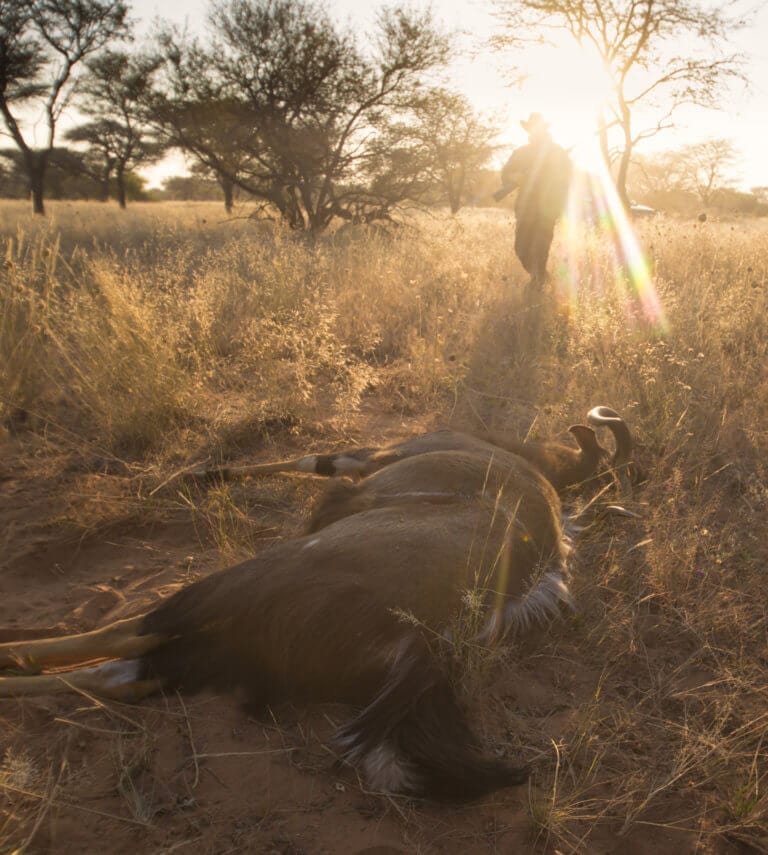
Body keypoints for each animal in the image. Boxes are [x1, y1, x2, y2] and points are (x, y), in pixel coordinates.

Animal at [0, 448, 568, 804]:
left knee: (127, 637)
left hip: (237, 591)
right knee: (126, 674)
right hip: (231, 649)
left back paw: (11, 655)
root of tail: (421, 644)